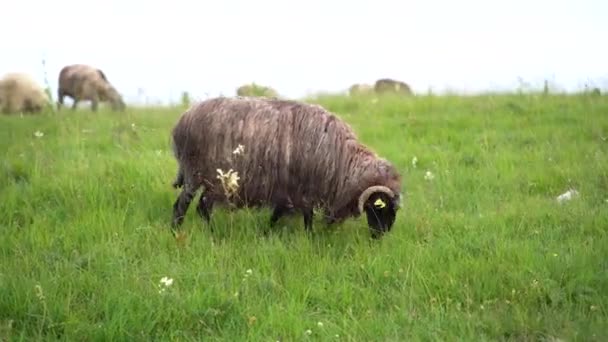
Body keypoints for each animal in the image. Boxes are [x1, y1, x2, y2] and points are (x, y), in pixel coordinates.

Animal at [170, 96, 404, 239]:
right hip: (197, 175)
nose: (380, 236)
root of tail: (182, 121)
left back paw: (207, 232)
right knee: (182, 206)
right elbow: (307, 218)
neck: (343, 162)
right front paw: (309, 238)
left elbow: (278, 215)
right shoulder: (302, 190)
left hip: (214, 181)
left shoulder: (287, 190)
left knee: (202, 206)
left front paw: (267, 232)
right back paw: (182, 232)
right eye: (380, 207)